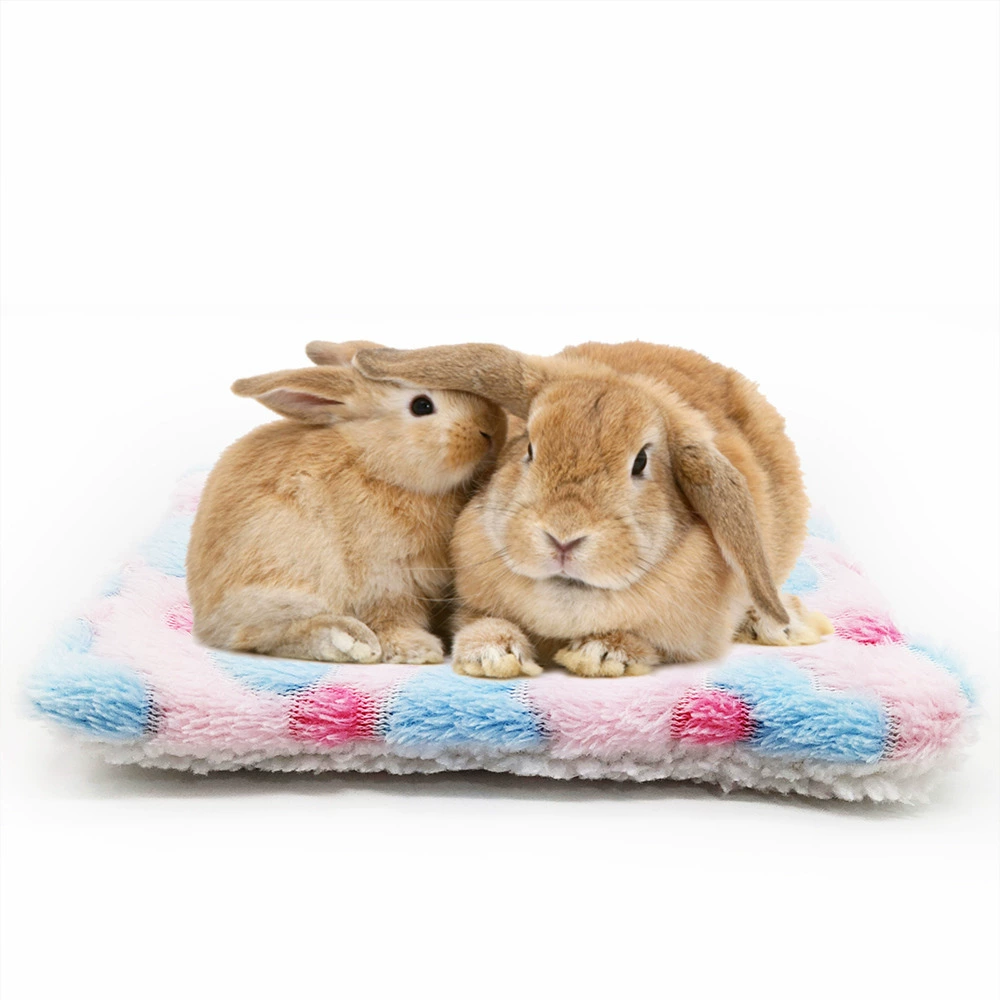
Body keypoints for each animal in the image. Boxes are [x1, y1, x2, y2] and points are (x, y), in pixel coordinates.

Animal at [186, 342, 506, 664]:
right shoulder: (387, 579)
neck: (375, 464)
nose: (490, 429)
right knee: (261, 635)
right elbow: (392, 617)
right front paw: (417, 649)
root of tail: (206, 617)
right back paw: (348, 641)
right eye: (422, 406)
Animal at [352, 340, 832, 678]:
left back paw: (782, 623)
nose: (563, 538)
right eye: (529, 448)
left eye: (641, 462)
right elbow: (479, 623)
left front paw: (601, 654)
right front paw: (493, 654)